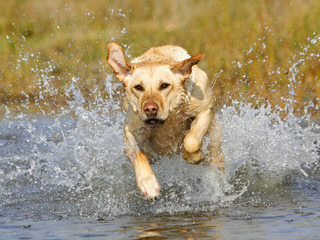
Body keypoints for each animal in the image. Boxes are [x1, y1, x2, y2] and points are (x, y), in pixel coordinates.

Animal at [106, 42, 224, 199]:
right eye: (138, 87)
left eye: (164, 85)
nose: (150, 109)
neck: (169, 118)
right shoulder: (130, 129)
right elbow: (137, 153)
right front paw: (148, 184)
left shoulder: (204, 110)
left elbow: (191, 142)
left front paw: (196, 157)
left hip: (215, 144)